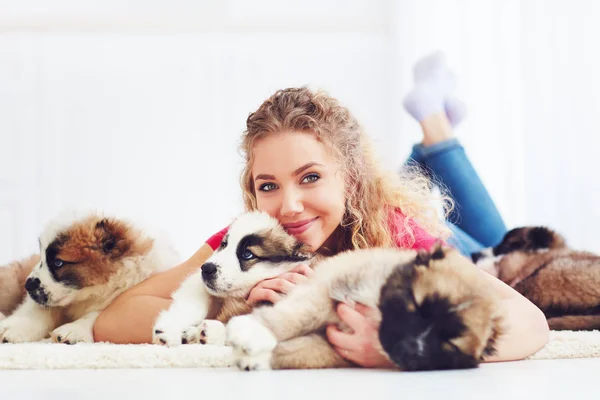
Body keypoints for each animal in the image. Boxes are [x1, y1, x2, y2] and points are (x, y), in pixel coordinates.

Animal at [0, 209, 179, 344]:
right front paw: (13, 327)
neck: (92, 293)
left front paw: (74, 330)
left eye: (58, 262)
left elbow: (98, 314)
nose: (28, 285)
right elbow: (35, 311)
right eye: (42, 256)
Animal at [151, 212, 314, 346]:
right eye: (224, 245)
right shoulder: (197, 283)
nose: (206, 269)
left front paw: (212, 333)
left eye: (247, 254)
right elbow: (193, 306)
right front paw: (169, 329)